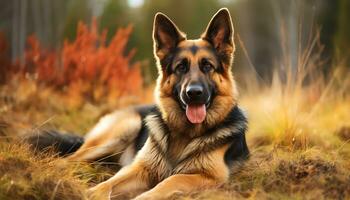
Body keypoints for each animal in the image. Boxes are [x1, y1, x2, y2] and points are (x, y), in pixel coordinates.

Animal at [29, 7, 249, 198]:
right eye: (181, 67)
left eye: (207, 66)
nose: (193, 93)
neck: (185, 134)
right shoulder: (140, 168)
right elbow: (110, 183)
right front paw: (91, 192)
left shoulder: (209, 177)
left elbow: (170, 181)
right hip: (125, 127)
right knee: (68, 159)